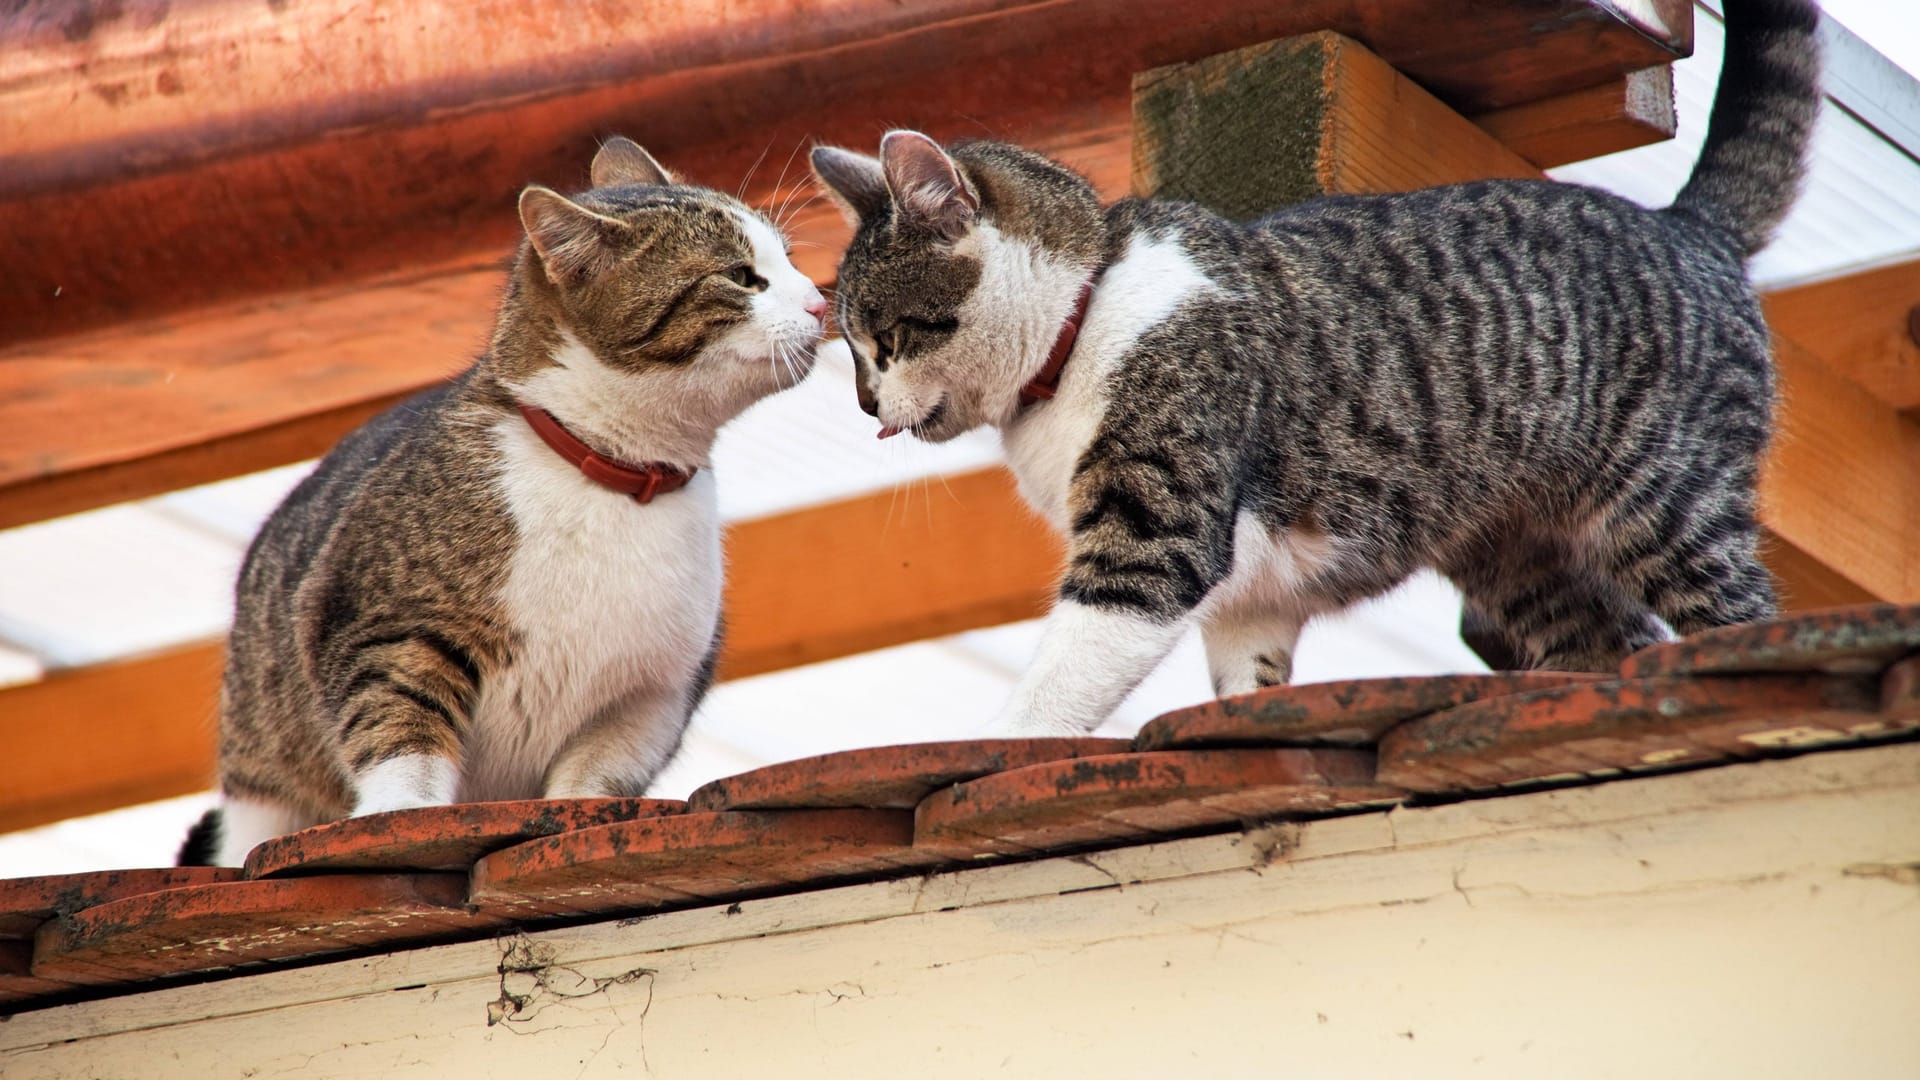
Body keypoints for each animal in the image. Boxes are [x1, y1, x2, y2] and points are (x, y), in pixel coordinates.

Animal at [181, 138, 833, 860]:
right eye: (744, 277)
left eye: (789, 259)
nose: (821, 302)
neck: (616, 476)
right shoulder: (389, 627)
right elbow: (401, 731)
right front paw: (402, 810)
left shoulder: (650, 694)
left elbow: (594, 777)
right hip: (258, 767)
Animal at [806, 0, 1812, 730]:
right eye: (848, 349)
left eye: (883, 341)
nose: (861, 406)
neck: (1089, 313)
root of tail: (1687, 227)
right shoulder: (1249, 596)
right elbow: (1248, 677)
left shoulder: (1156, 526)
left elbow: (1058, 679)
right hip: (1522, 559)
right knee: (1612, 638)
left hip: (1668, 504)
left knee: (1744, 611)